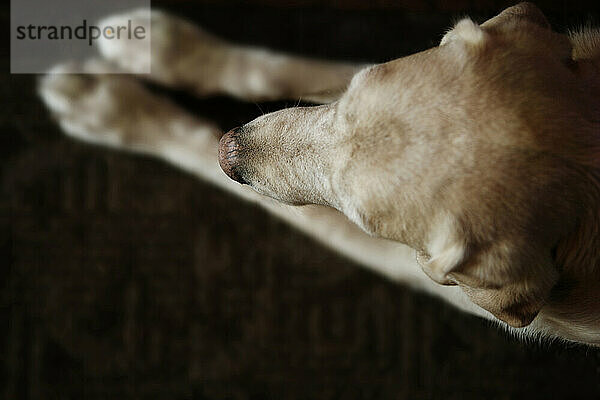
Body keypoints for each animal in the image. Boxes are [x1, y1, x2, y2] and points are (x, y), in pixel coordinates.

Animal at [38, 3, 600, 346]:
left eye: (362, 215)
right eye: (349, 97)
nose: (229, 150)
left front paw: (112, 108)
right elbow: (280, 69)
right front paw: (161, 50)